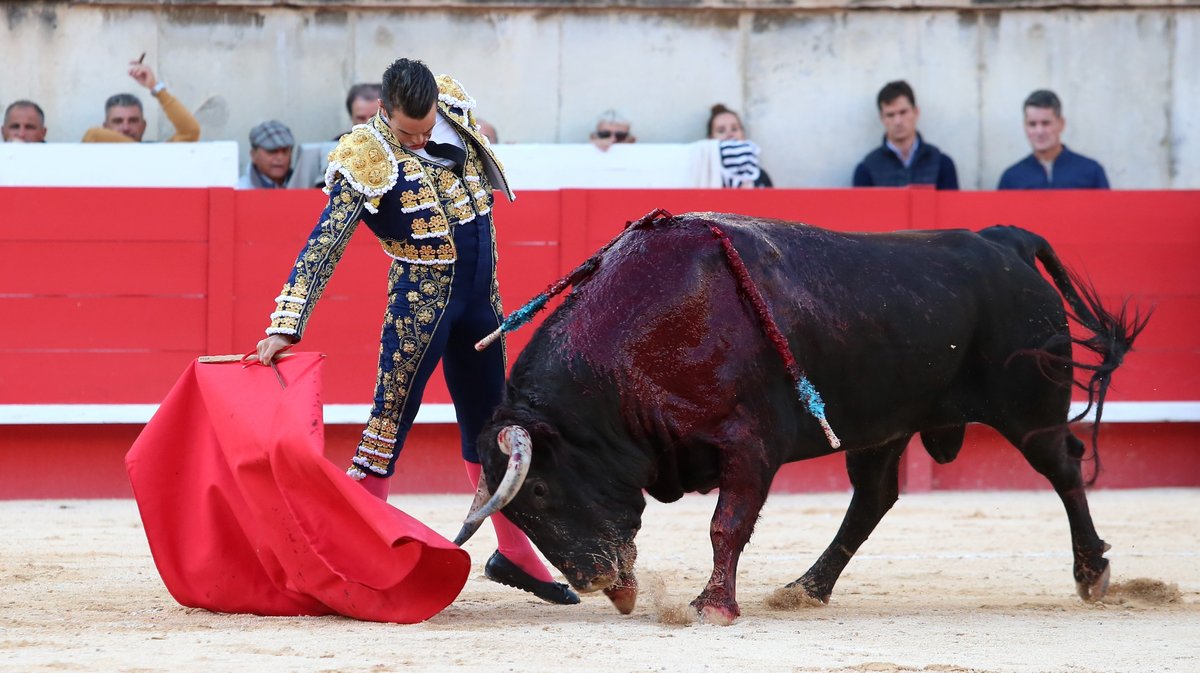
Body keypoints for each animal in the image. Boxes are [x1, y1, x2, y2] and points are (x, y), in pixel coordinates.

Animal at [456, 211, 1142, 623]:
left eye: (540, 490)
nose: (596, 580)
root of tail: (1002, 240)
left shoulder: (751, 443)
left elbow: (726, 525)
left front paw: (714, 606)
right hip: (884, 424)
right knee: (873, 499)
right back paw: (806, 588)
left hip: (1028, 409)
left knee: (1064, 469)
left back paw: (1092, 573)